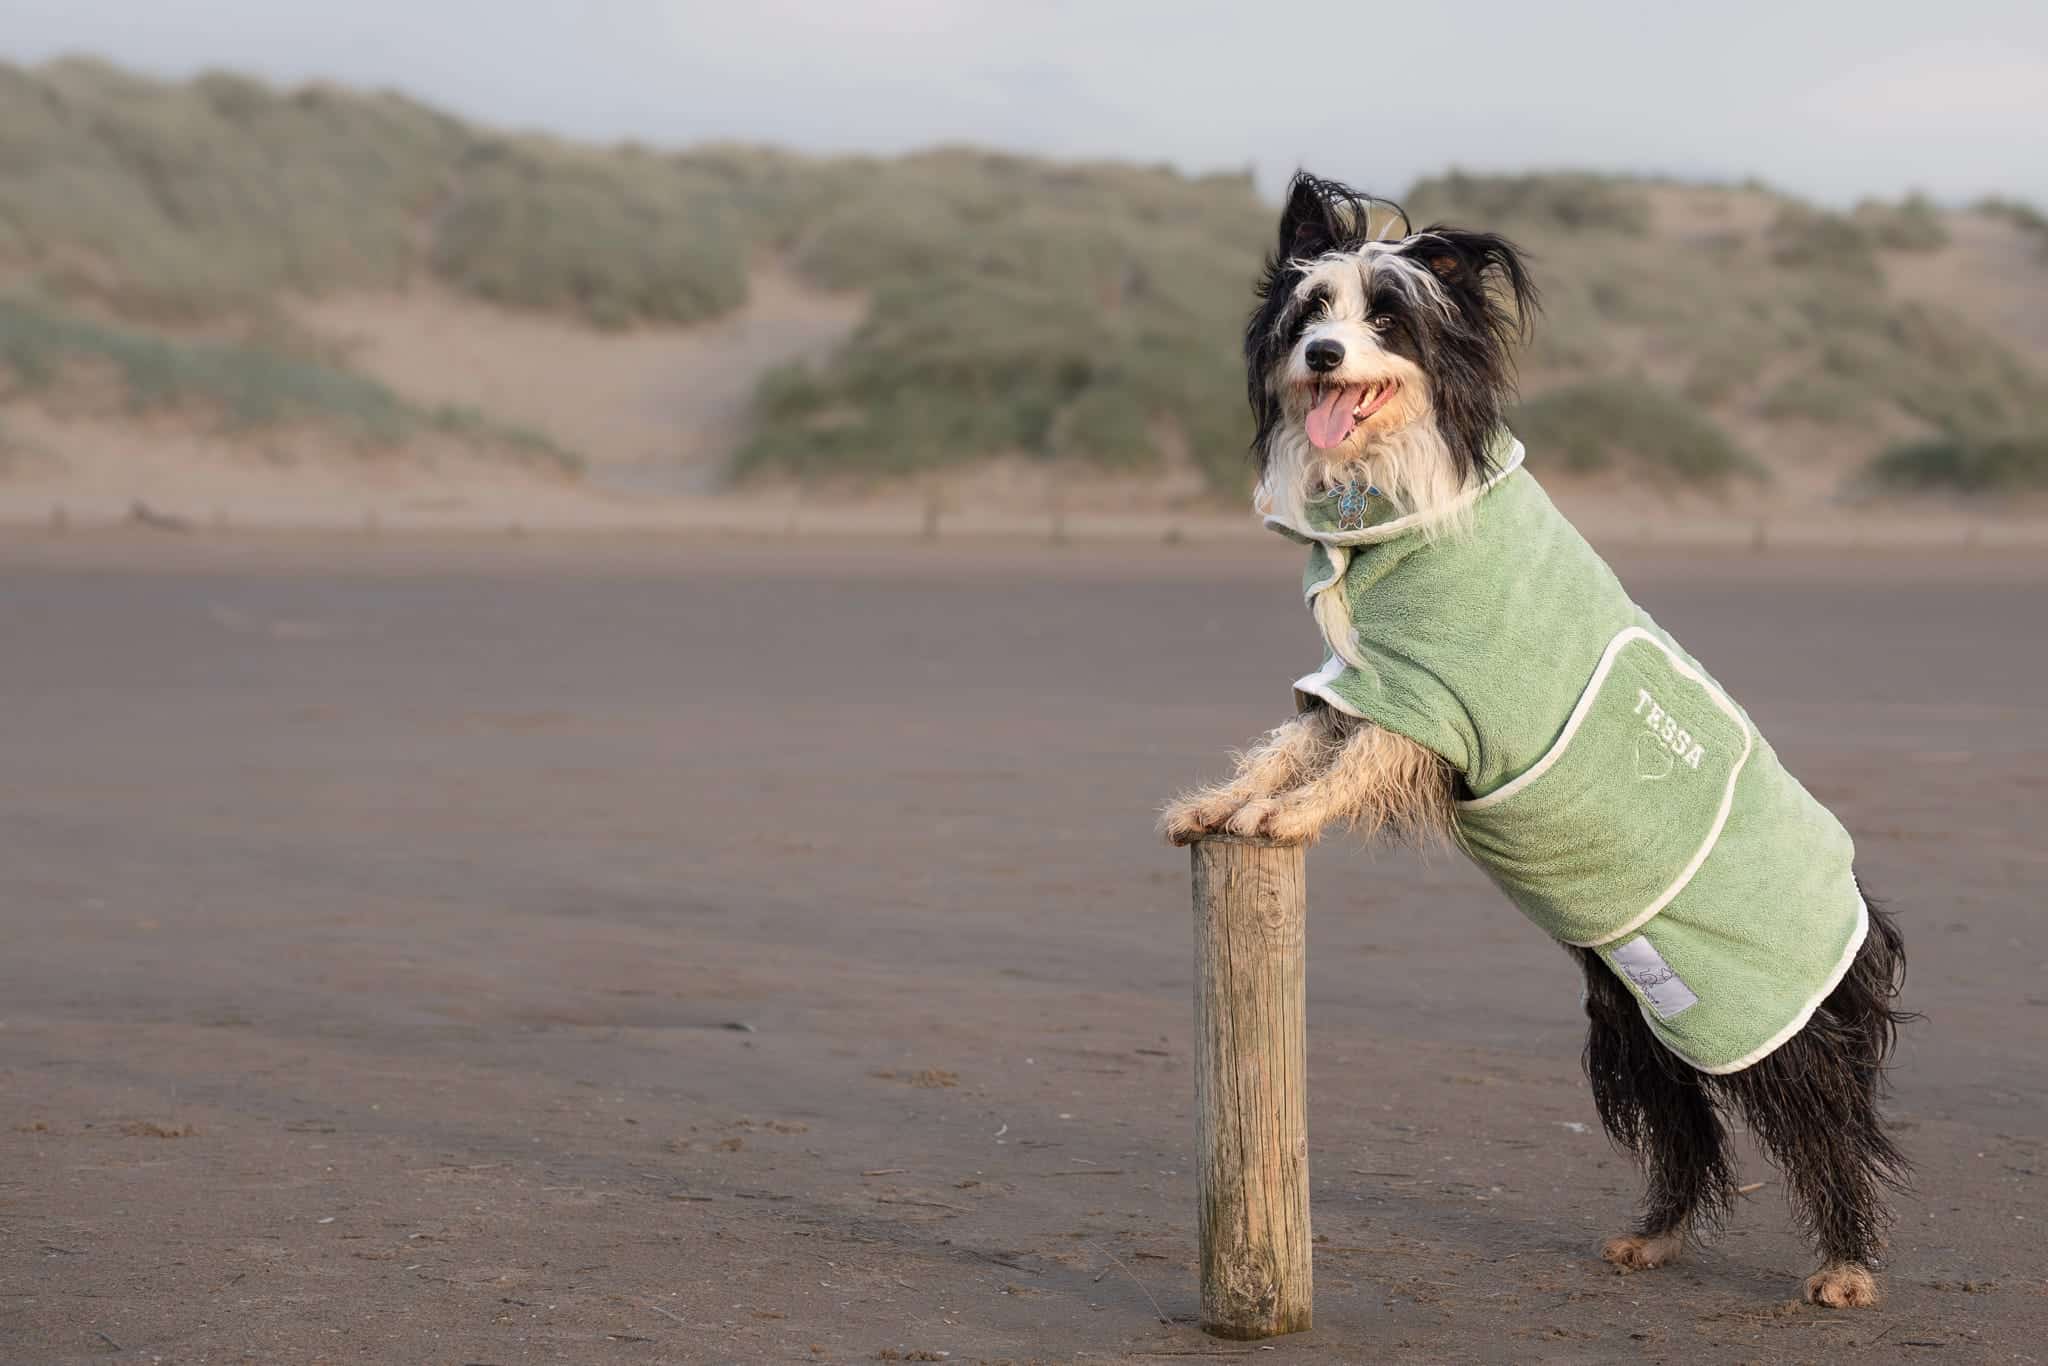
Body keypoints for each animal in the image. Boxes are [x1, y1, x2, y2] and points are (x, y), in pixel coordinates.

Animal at [1163, 174, 1908, 1310]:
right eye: (1308, 314)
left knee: (1826, 1124)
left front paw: (1283, 817)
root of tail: (1862, 917)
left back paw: (1845, 1264)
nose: (1322, 356)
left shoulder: (1433, 695)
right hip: (1637, 1025)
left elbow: (1351, 763)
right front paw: (1222, 802)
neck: (1406, 491)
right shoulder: (1358, 678)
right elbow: (1292, 741)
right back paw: (1654, 1237)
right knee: (1685, 1133)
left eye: (1387, 318)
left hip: (1758, 1020)